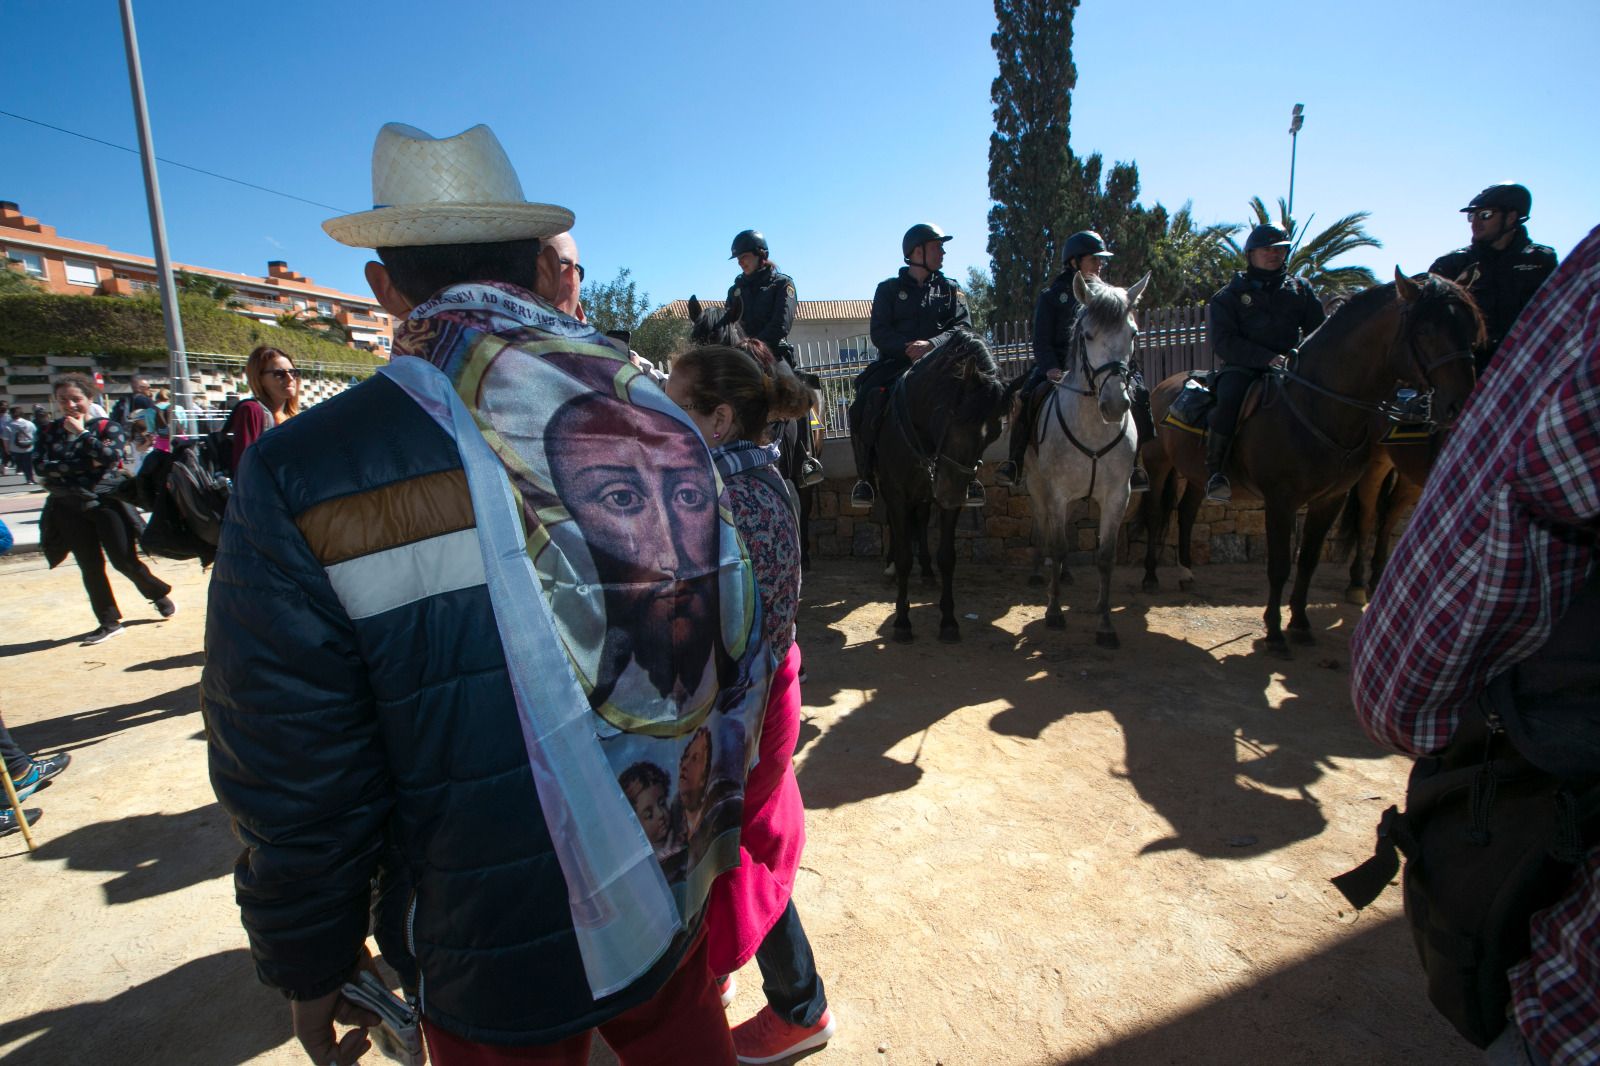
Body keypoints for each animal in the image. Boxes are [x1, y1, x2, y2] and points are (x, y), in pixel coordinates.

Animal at [1024, 270, 1152, 643]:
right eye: (1088, 335)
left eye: (1133, 333)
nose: (1115, 405)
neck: (1094, 427)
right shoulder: (1056, 492)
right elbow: (1058, 545)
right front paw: (1054, 611)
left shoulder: (1117, 495)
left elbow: (1105, 557)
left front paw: (1105, 622)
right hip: (1037, 486)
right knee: (1043, 525)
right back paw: (1040, 572)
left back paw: (1065, 575)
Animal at [1145, 270, 1478, 653]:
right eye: (1425, 330)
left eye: (1470, 326)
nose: (1461, 402)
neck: (1316, 405)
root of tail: (1163, 386)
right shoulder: (1280, 500)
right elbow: (1279, 565)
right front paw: (1274, 632)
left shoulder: (1329, 500)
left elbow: (1308, 560)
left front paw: (1300, 623)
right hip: (1159, 465)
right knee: (1157, 514)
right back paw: (1151, 576)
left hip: (1199, 475)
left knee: (1186, 513)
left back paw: (1187, 573)